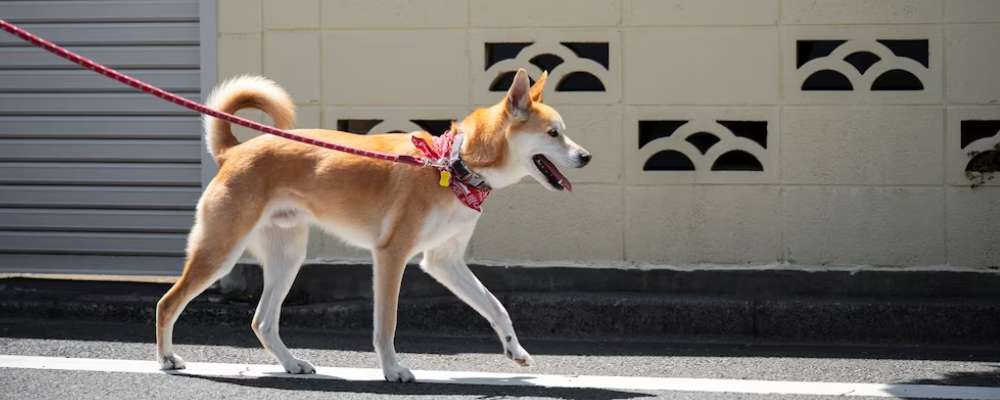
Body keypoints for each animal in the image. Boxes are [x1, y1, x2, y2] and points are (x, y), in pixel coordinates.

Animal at [155, 68, 588, 382]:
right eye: (554, 134)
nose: (586, 156)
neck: (454, 165)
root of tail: (235, 151)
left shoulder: (444, 261)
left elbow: (495, 307)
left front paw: (515, 350)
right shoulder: (391, 256)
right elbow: (387, 324)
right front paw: (392, 370)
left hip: (287, 257)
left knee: (262, 320)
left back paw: (292, 364)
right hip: (221, 251)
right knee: (167, 303)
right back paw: (167, 358)